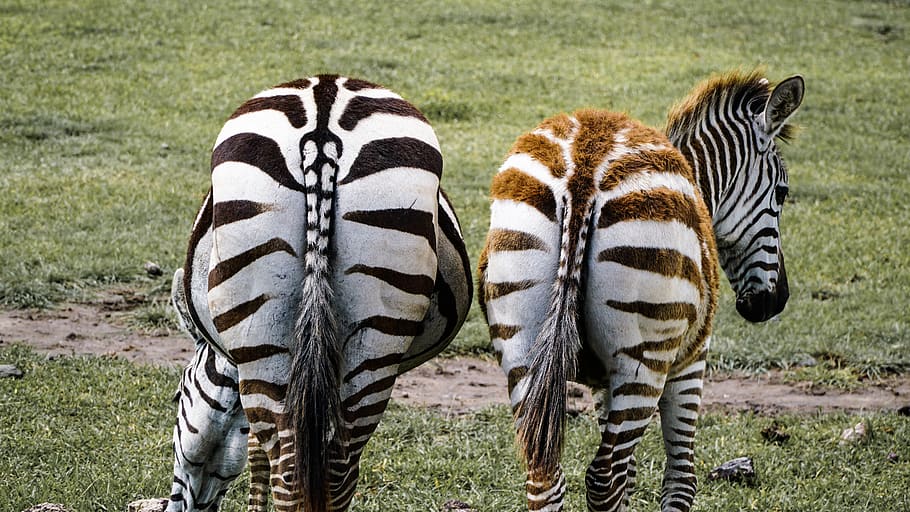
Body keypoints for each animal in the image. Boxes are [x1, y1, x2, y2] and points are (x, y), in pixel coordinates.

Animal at [165, 74, 472, 512]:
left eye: (177, 397)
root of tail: (322, 127)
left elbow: (256, 454)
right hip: (368, 340)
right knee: (332, 470)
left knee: (298, 472)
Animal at [477, 70, 804, 511]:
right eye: (782, 193)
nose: (775, 301)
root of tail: (583, 168)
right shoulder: (691, 362)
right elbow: (681, 479)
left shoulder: (603, 383)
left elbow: (630, 477)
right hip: (644, 358)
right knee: (603, 477)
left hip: (521, 343)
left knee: (548, 476)